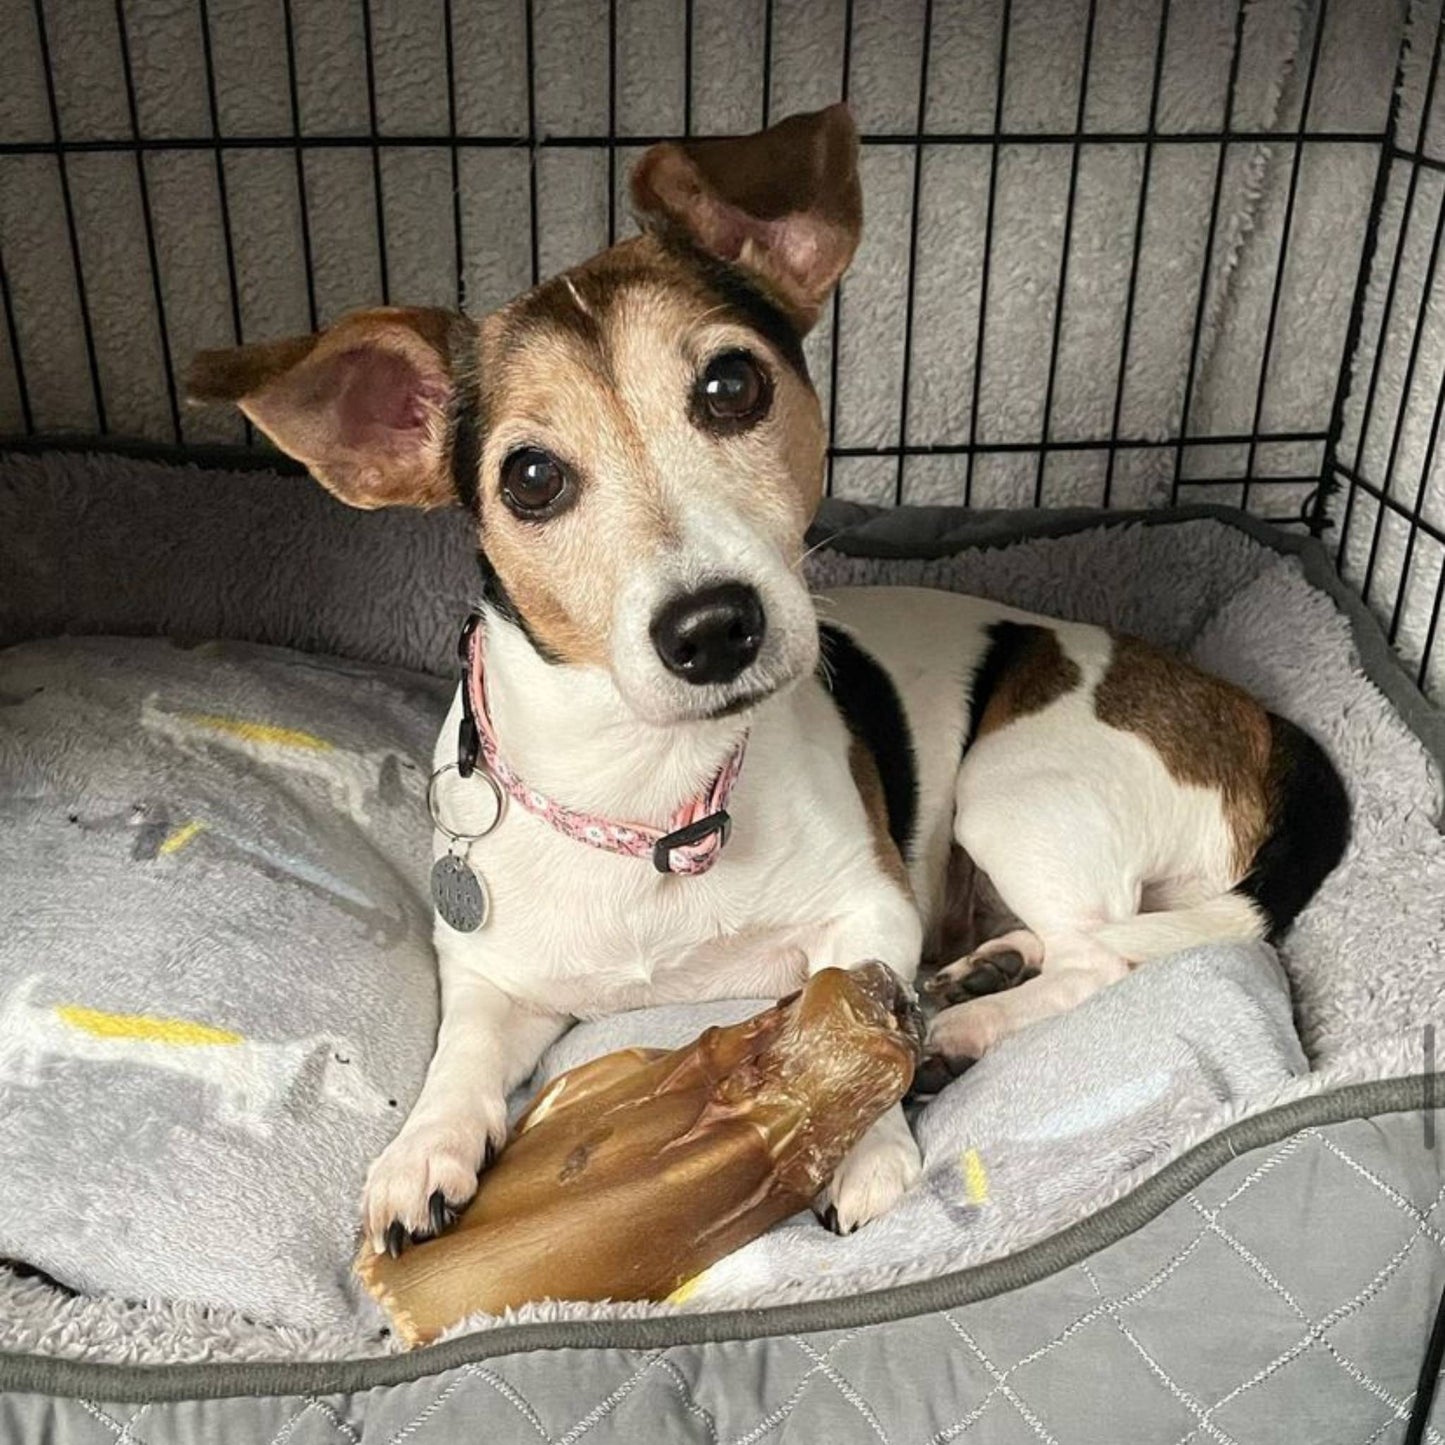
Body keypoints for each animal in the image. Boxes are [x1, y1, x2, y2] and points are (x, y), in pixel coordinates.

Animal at [186, 101, 1346, 1254]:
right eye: (531, 477)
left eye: (729, 385)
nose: (712, 628)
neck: (648, 797)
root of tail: (1265, 726)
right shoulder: (490, 975)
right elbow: (457, 1056)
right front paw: (422, 1149)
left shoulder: (870, 907)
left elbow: (856, 997)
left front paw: (866, 1136)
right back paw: (982, 972)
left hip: (1013, 786)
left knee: (1101, 956)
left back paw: (963, 1022)